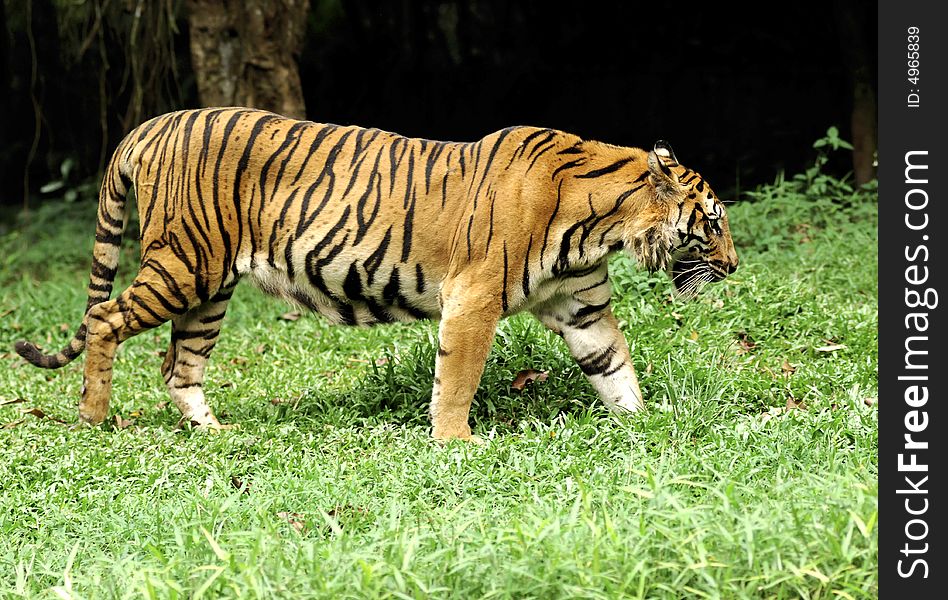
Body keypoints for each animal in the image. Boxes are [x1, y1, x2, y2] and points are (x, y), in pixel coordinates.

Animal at [16, 106, 740, 440]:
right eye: (713, 220)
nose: (733, 267)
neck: (600, 225)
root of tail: (152, 122)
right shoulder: (473, 296)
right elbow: (458, 377)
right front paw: (456, 442)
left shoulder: (581, 305)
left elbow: (615, 367)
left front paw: (643, 423)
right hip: (183, 264)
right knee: (104, 318)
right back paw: (92, 418)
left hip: (210, 287)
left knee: (178, 365)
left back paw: (213, 433)